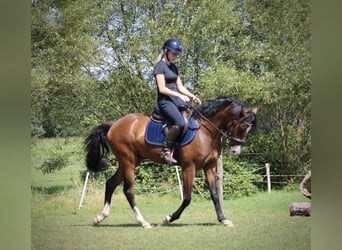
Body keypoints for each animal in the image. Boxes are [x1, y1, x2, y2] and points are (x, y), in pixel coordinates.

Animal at [85, 96, 256, 229]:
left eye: (249, 129)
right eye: (242, 126)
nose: (235, 151)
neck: (206, 131)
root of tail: (114, 125)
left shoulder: (210, 167)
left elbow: (214, 195)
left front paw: (223, 219)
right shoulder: (189, 167)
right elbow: (187, 198)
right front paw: (169, 218)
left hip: (130, 162)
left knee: (111, 183)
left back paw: (100, 217)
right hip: (128, 162)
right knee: (128, 190)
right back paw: (143, 222)